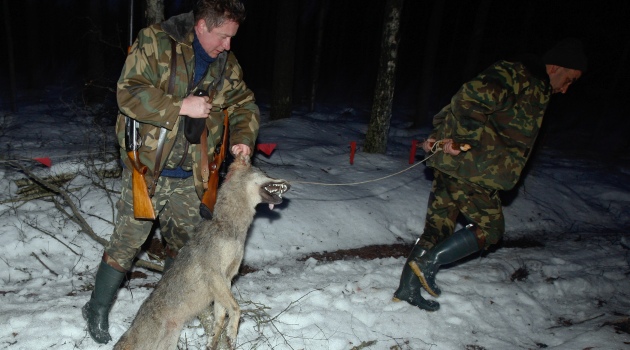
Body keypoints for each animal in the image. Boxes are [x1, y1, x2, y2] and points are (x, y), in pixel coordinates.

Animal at [114, 157, 292, 350]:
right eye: (264, 172)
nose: (289, 184)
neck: (230, 226)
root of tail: (130, 330)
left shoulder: (227, 278)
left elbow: (220, 316)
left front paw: (213, 339)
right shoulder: (214, 274)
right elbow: (236, 308)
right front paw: (232, 334)